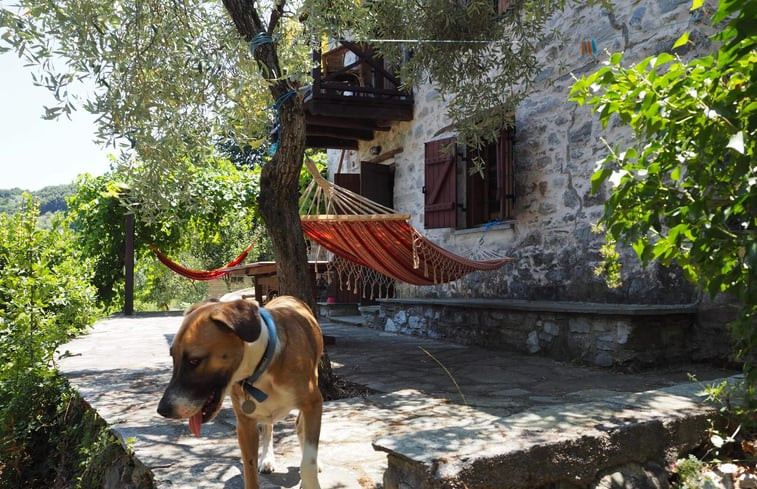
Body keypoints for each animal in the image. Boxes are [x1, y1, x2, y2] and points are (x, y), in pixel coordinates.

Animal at [158, 296, 324, 488]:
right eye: (173, 357)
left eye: (194, 361)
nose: (162, 410)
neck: (261, 366)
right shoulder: (245, 424)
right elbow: (249, 468)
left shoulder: (313, 403)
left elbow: (308, 462)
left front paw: (310, 478)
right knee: (268, 427)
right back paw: (267, 458)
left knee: (300, 426)